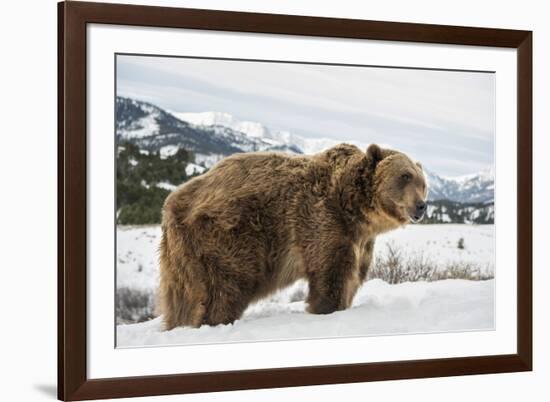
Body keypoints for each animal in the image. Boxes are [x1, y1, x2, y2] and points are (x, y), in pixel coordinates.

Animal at [157, 143, 430, 328]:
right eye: (405, 176)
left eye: (422, 182)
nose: (421, 206)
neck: (354, 209)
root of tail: (171, 203)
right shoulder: (322, 222)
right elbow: (331, 274)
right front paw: (326, 309)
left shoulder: (360, 240)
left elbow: (353, 277)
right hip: (226, 238)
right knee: (224, 290)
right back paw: (216, 320)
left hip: (181, 255)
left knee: (181, 298)